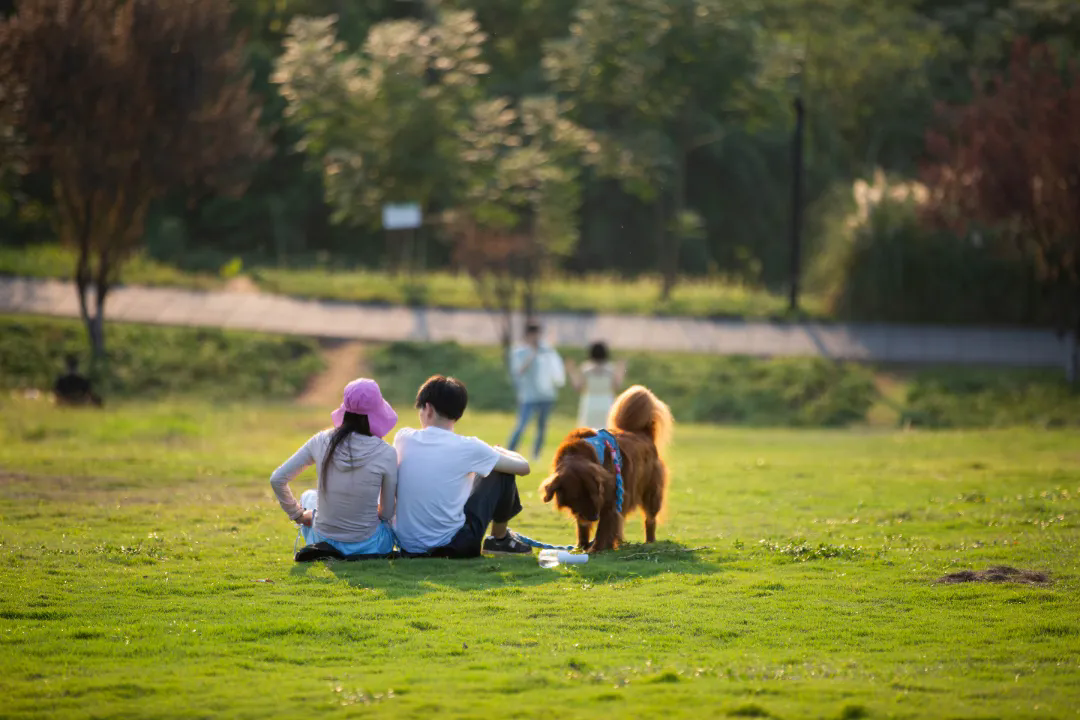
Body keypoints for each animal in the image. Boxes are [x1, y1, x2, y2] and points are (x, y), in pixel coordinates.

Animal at [540, 386, 673, 557]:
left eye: (595, 492)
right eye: (576, 496)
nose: (593, 517)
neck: (577, 453)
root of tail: (643, 433)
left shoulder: (611, 501)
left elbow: (604, 527)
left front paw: (596, 548)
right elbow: (583, 526)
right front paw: (581, 546)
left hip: (651, 493)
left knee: (650, 519)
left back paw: (649, 542)